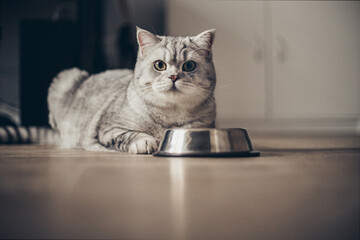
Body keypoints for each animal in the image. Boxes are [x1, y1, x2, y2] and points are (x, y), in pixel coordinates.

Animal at [47, 26, 217, 154]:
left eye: (189, 65)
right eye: (160, 65)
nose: (174, 76)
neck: (170, 115)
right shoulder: (109, 129)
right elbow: (128, 134)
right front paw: (145, 142)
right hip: (65, 79)